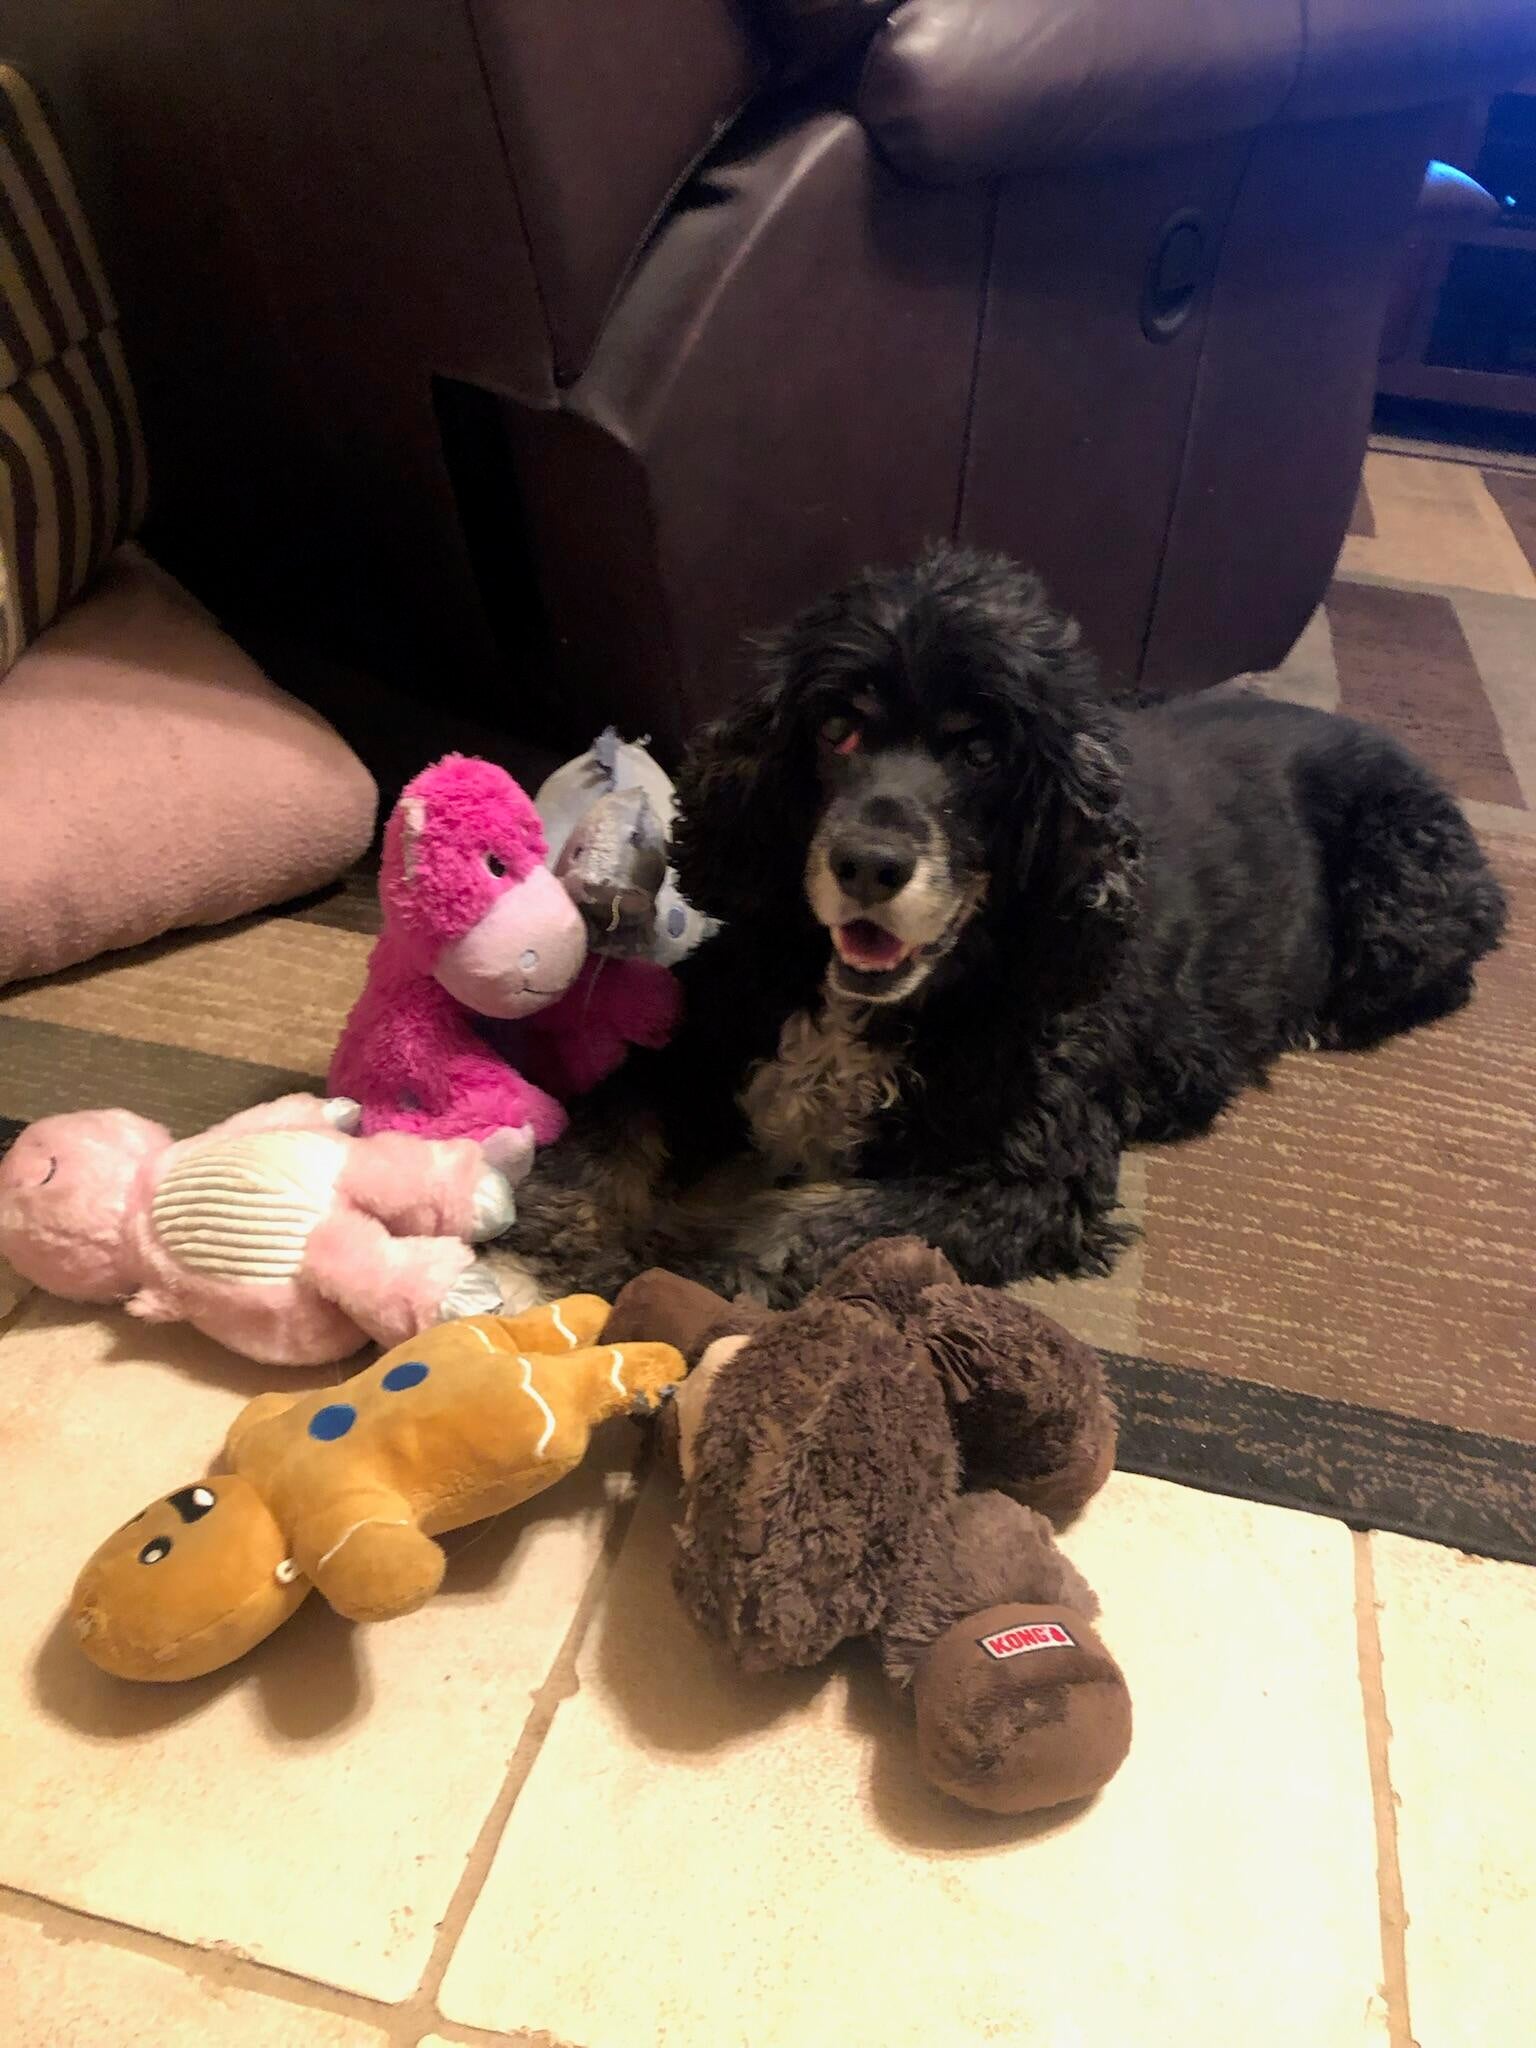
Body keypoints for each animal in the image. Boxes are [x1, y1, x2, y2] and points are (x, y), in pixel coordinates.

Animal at [490, 545, 1508, 1309]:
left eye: (982, 751)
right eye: (836, 728)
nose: (869, 864)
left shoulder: (1026, 1173)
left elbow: (817, 1222)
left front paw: (687, 1265)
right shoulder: (706, 1033)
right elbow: (621, 1113)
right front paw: (565, 1228)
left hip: (1404, 893)